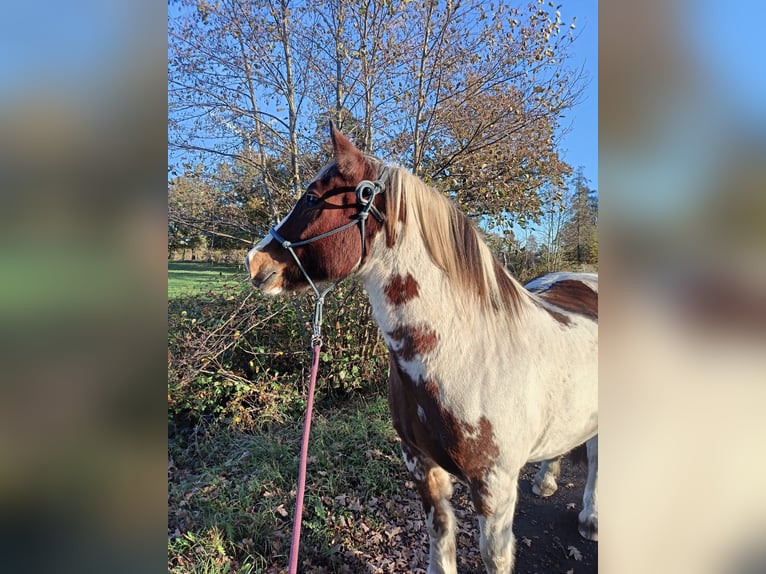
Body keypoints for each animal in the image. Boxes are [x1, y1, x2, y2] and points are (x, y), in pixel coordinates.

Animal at [248, 124, 600, 572]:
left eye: (311, 198)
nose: (254, 262)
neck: (468, 356)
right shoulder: (420, 463)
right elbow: (439, 531)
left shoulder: (495, 487)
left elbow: (494, 555)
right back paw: (547, 480)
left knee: (596, 457)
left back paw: (591, 518)